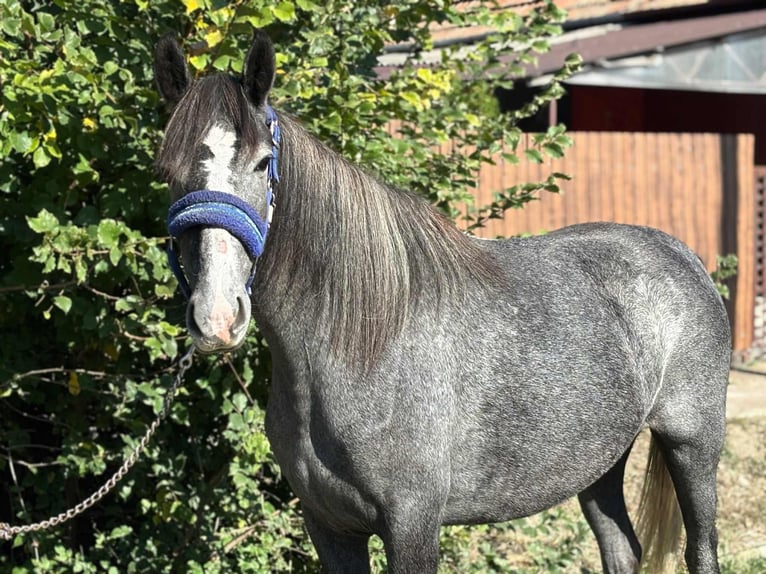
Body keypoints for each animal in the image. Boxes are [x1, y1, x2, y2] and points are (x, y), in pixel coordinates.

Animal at [153, 29, 730, 574]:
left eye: (262, 163)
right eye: (168, 172)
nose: (217, 317)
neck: (358, 347)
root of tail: (680, 255)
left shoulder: (412, 524)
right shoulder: (330, 528)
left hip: (693, 446)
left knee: (700, 549)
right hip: (600, 461)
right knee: (622, 548)